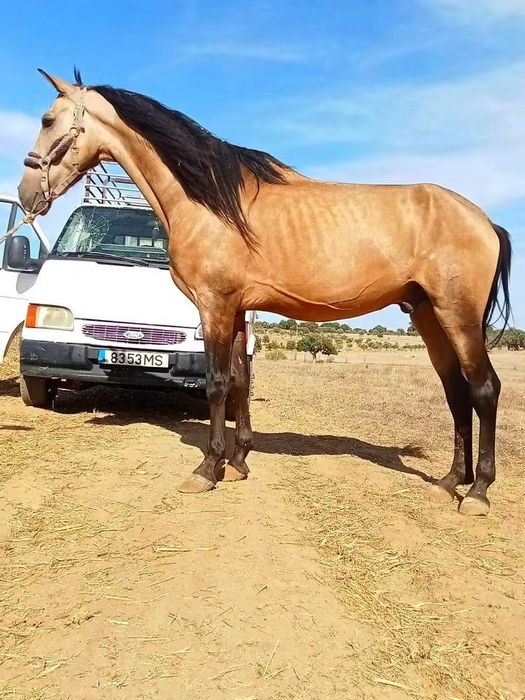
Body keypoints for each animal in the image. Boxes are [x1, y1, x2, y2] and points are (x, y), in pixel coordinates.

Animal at [18, 70, 511, 516]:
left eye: (47, 119)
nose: (25, 194)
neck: (211, 204)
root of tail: (486, 221)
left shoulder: (214, 306)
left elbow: (217, 383)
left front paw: (207, 470)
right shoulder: (236, 310)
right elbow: (239, 380)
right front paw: (237, 462)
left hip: (456, 315)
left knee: (484, 388)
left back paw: (477, 492)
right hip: (428, 315)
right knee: (456, 391)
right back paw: (450, 481)